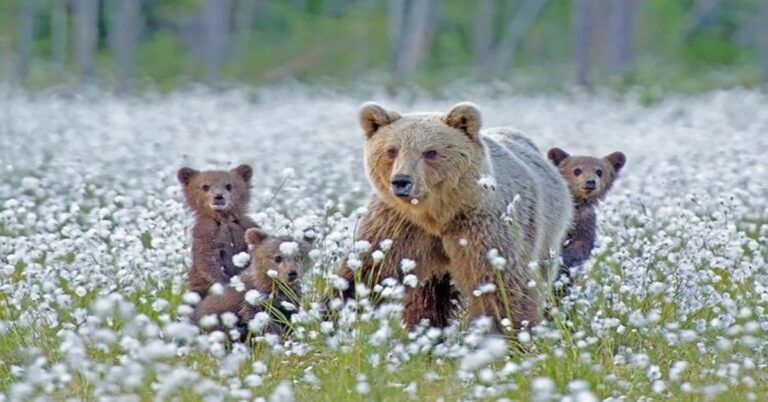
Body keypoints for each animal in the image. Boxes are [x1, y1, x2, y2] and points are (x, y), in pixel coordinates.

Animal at [178, 165, 258, 296]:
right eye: (205, 186)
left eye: (229, 185)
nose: (218, 197)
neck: (224, 219)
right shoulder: (206, 233)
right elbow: (208, 260)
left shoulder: (245, 227)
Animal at [332, 102, 572, 332]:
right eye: (392, 150)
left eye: (430, 152)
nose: (401, 181)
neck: (437, 215)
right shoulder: (398, 224)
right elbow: (370, 270)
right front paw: (334, 312)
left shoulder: (482, 227)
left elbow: (498, 283)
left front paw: (509, 331)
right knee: (427, 298)